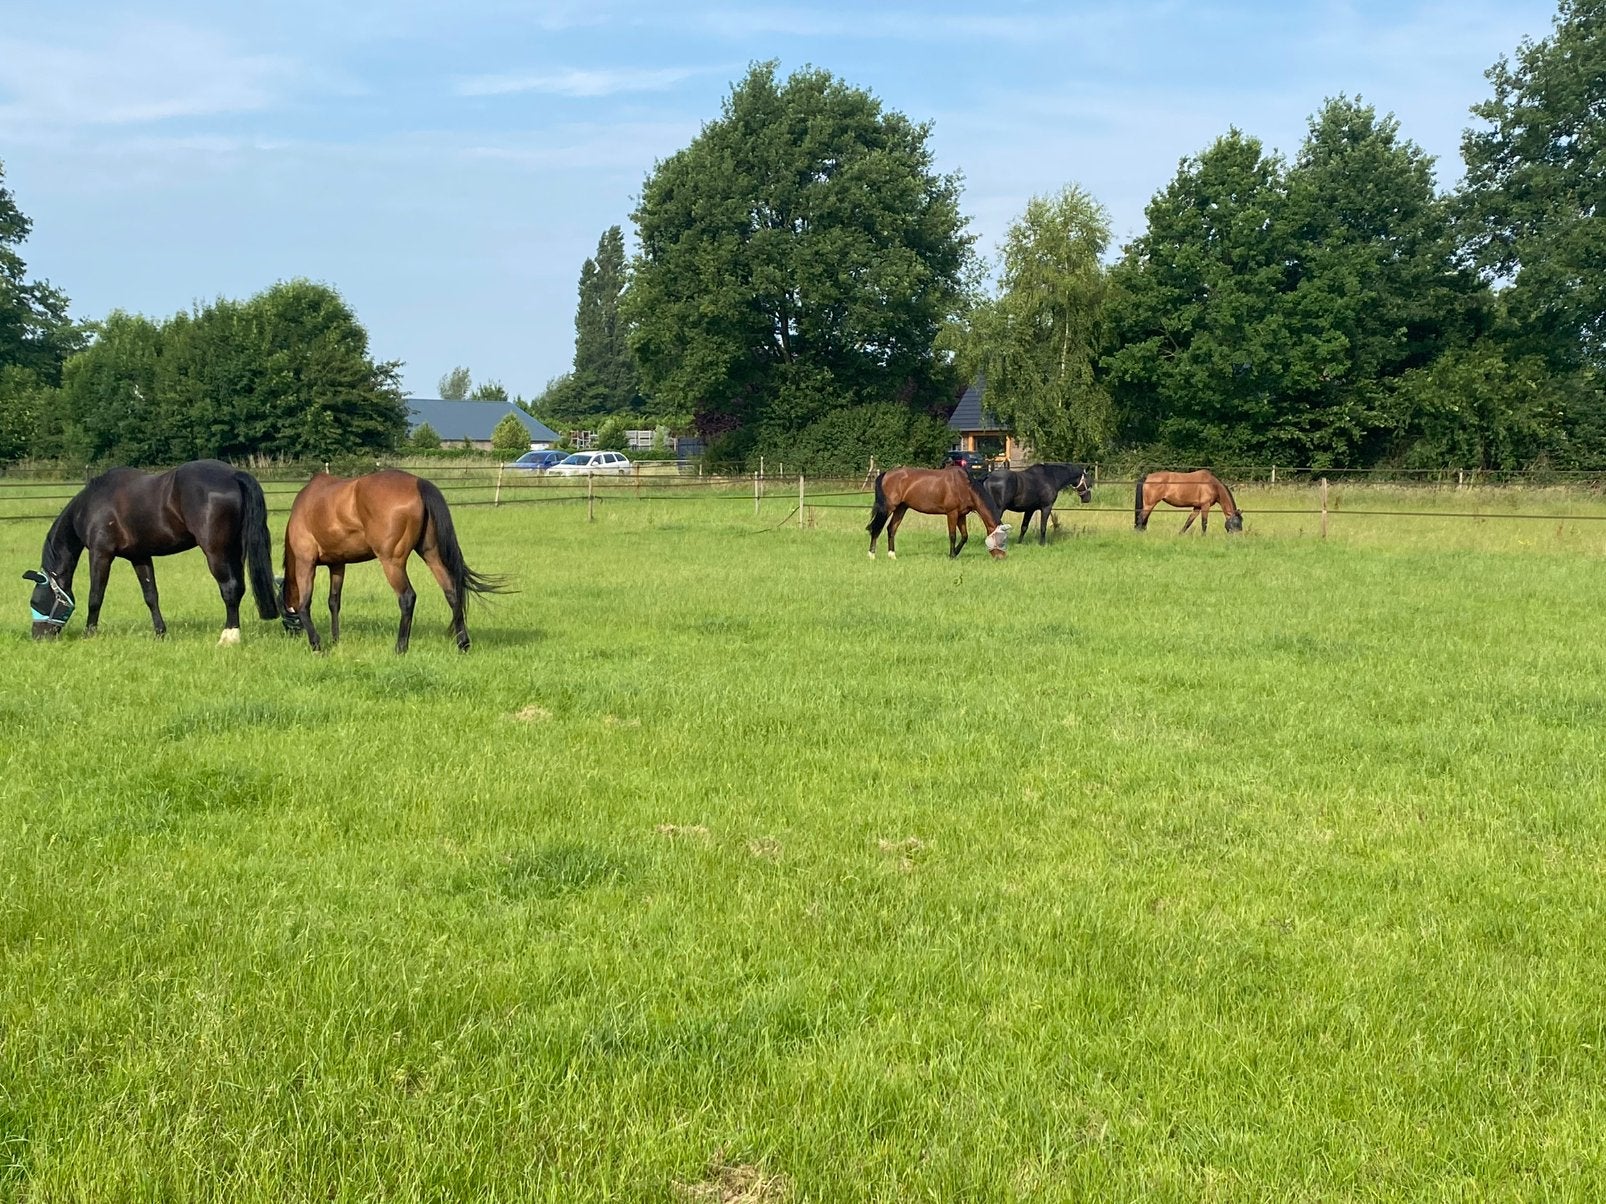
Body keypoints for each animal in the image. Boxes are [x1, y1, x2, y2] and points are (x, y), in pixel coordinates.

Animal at [21, 459, 277, 643]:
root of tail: (234, 475)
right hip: (234, 551)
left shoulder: (101, 554)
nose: (38, 636)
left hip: (216, 552)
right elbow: (151, 596)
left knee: (229, 588)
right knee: (239, 588)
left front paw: (89, 633)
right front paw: (160, 633)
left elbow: (95, 596)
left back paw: (228, 637)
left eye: (35, 601)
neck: (91, 504)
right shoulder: (140, 556)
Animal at [280, 469, 505, 653]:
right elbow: (334, 602)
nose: (292, 635)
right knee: (451, 592)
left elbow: (304, 604)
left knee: (407, 597)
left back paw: (400, 647)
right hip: (432, 555)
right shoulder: (337, 564)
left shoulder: (305, 562)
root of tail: (419, 483)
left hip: (392, 563)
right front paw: (336, 641)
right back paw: (463, 644)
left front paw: (316, 644)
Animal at [866, 464, 1009, 559]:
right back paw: (872, 555)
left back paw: (892, 555)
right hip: (888, 508)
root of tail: (886, 474)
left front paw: (955, 553)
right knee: (876, 528)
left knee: (891, 529)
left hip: (901, 508)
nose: (1001, 557)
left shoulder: (961, 515)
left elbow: (964, 536)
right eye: (1000, 539)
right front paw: (951, 555)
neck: (964, 486)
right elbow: (953, 535)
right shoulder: (952, 513)